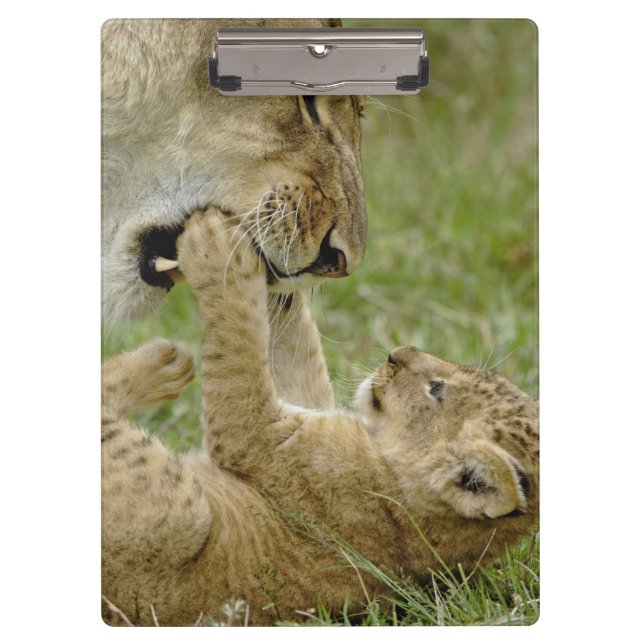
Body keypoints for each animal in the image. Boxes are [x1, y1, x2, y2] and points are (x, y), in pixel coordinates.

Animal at [101, 209, 539, 626]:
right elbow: (294, 347)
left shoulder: (266, 439)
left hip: (181, 515)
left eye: (436, 389)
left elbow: (240, 349)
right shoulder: (307, 409)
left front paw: (218, 246)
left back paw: (165, 362)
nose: (397, 353)